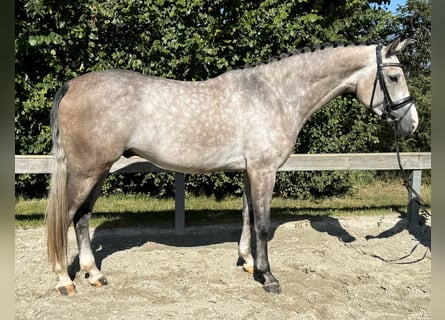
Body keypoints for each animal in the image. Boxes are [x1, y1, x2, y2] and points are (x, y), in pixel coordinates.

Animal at [46, 38, 418, 296]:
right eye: (394, 76)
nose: (412, 124)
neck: (277, 95)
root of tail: (73, 84)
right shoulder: (265, 171)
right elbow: (264, 225)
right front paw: (269, 278)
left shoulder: (249, 171)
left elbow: (248, 217)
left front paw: (249, 264)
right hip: (87, 171)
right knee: (66, 218)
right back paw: (64, 280)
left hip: (98, 171)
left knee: (82, 218)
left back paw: (95, 275)